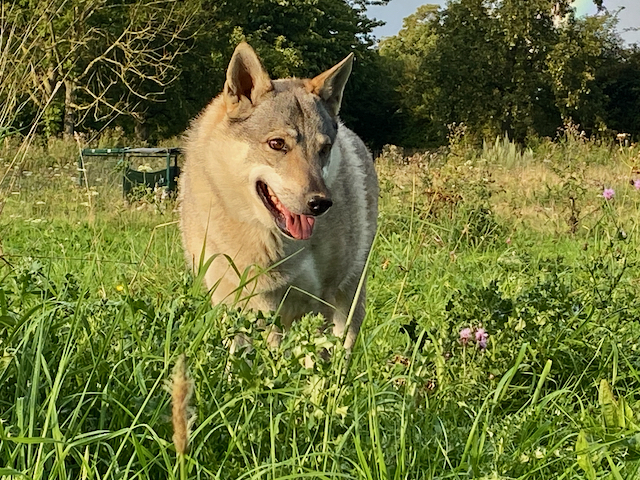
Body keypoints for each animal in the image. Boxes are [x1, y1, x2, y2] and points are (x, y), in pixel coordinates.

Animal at [180, 42, 378, 348]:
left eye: (324, 149)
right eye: (277, 144)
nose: (320, 203)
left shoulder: (318, 303)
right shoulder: (230, 303)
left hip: (349, 296)